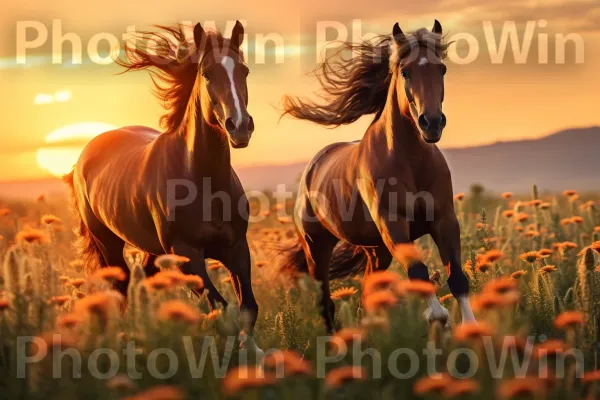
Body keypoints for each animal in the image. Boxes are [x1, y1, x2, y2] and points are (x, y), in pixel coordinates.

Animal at [63, 21, 260, 346]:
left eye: (244, 70)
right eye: (207, 73)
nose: (240, 127)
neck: (204, 182)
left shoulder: (236, 248)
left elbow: (247, 309)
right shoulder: (187, 257)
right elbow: (222, 309)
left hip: (153, 250)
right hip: (109, 244)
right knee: (122, 291)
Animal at [282, 20, 478, 332]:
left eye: (442, 69)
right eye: (405, 71)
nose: (432, 123)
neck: (410, 161)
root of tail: (311, 170)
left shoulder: (444, 219)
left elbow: (457, 278)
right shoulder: (394, 225)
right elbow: (419, 273)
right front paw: (440, 321)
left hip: (377, 251)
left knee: (368, 292)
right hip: (317, 249)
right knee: (326, 303)